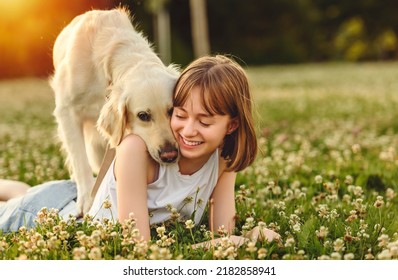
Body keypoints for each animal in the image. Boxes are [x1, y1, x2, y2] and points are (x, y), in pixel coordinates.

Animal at [49, 8, 179, 214]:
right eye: (143, 116)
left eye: (172, 110)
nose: (170, 155)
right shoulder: (66, 110)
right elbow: (80, 162)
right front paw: (87, 200)